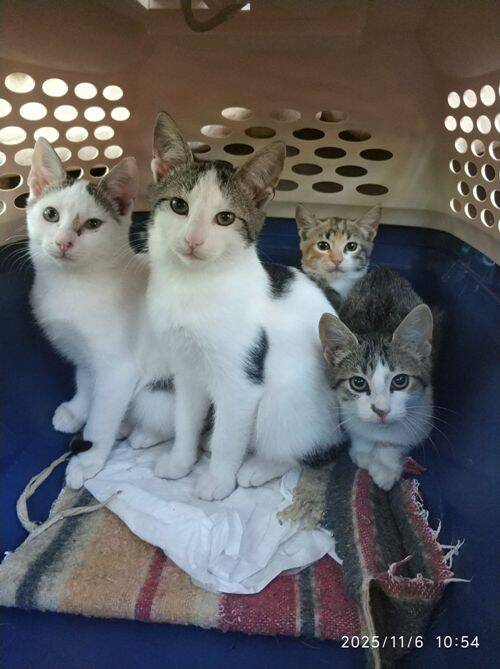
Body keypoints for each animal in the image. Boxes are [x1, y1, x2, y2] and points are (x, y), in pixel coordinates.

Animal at [26, 138, 174, 488]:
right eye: (50, 214)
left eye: (93, 224)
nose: (64, 242)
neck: (71, 284)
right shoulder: (83, 351)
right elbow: (85, 380)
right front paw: (77, 410)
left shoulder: (118, 368)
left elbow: (102, 414)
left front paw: (88, 458)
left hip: (157, 392)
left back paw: (143, 436)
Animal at [141, 111, 342, 501]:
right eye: (178, 206)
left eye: (225, 218)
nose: (193, 239)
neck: (194, 286)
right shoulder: (186, 369)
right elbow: (186, 417)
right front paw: (181, 462)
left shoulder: (241, 382)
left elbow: (229, 435)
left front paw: (218, 481)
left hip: (284, 401)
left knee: (297, 449)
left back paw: (260, 467)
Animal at [318, 267, 434, 490]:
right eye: (358, 383)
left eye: (400, 381)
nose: (381, 411)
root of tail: (384, 270)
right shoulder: (346, 413)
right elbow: (359, 432)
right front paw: (363, 451)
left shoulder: (422, 418)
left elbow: (398, 442)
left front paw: (385, 466)